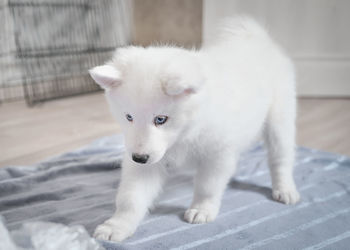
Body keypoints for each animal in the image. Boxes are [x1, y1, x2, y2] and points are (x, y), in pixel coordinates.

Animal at [89, 17, 300, 242]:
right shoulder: (147, 160)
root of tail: (257, 38)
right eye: (129, 117)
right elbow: (131, 197)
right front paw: (117, 226)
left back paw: (285, 189)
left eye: (160, 119)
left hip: (280, 119)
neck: (185, 134)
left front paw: (202, 209)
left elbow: (208, 186)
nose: (139, 158)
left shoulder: (217, 154)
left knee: (281, 158)